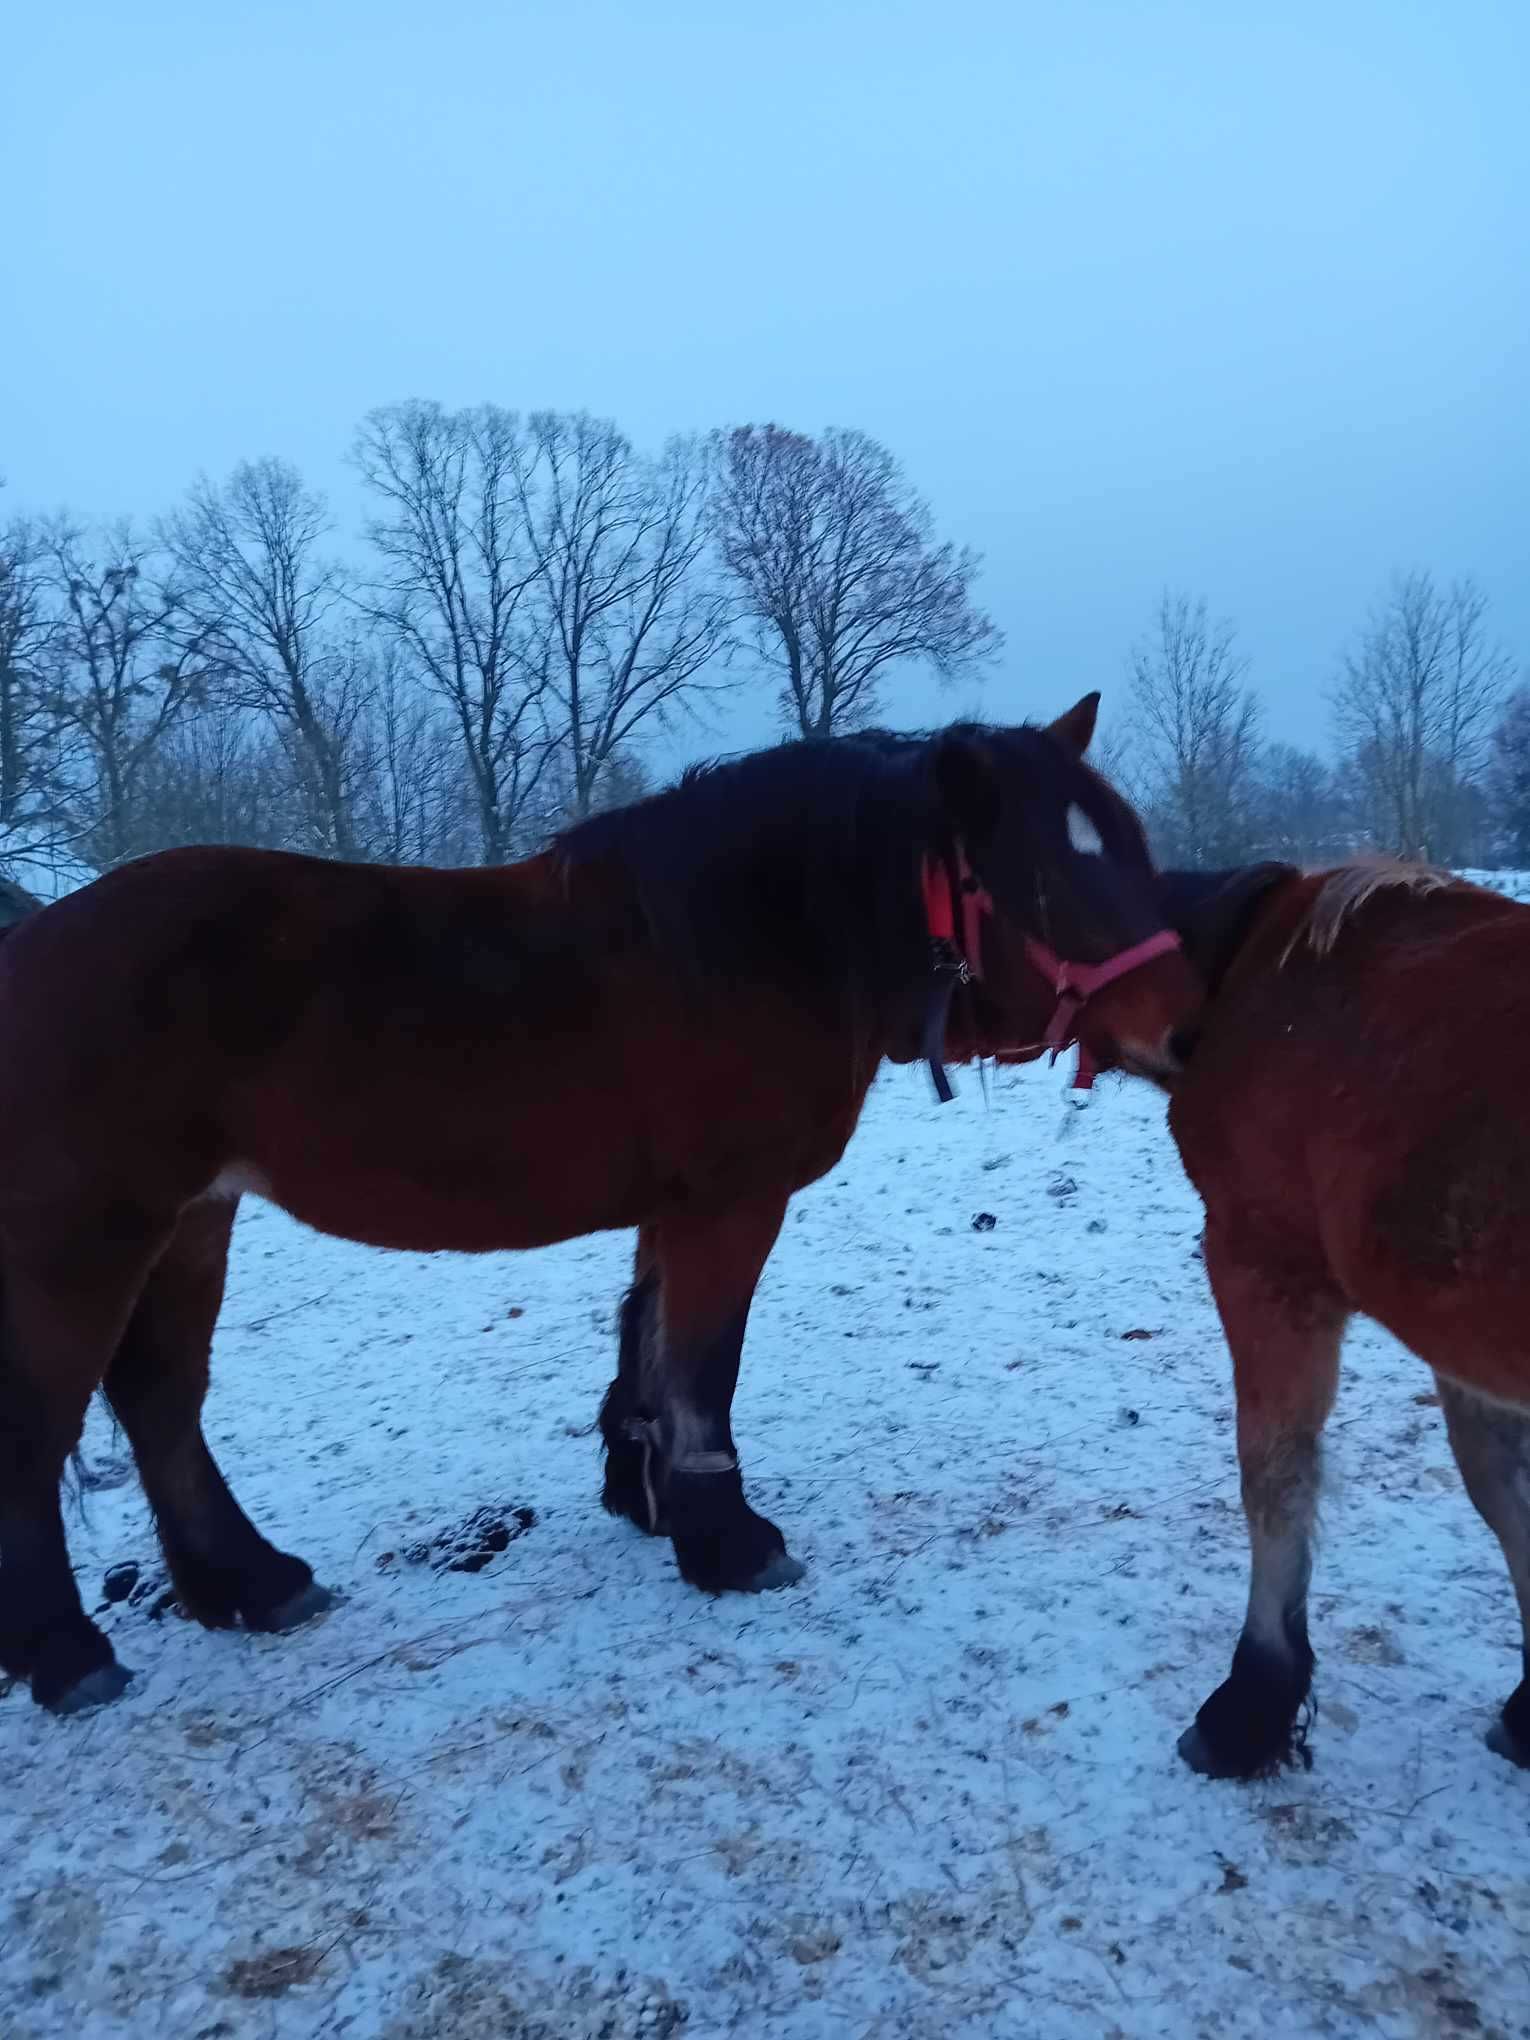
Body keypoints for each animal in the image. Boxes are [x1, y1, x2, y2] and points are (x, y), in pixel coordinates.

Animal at [0, 693, 1207, 1713]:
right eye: (1046, 876)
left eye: (1131, 846)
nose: (1185, 1032)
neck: (759, 936)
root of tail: (31, 943)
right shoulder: (731, 1202)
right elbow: (703, 1368)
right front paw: (728, 1542)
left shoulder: (672, 1208)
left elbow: (648, 1342)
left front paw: (648, 1497)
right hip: (85, 1238)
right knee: (45, 1429)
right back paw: (68, 1655)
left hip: (190, 1222)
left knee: (161, 1401)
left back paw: (248, 1585)